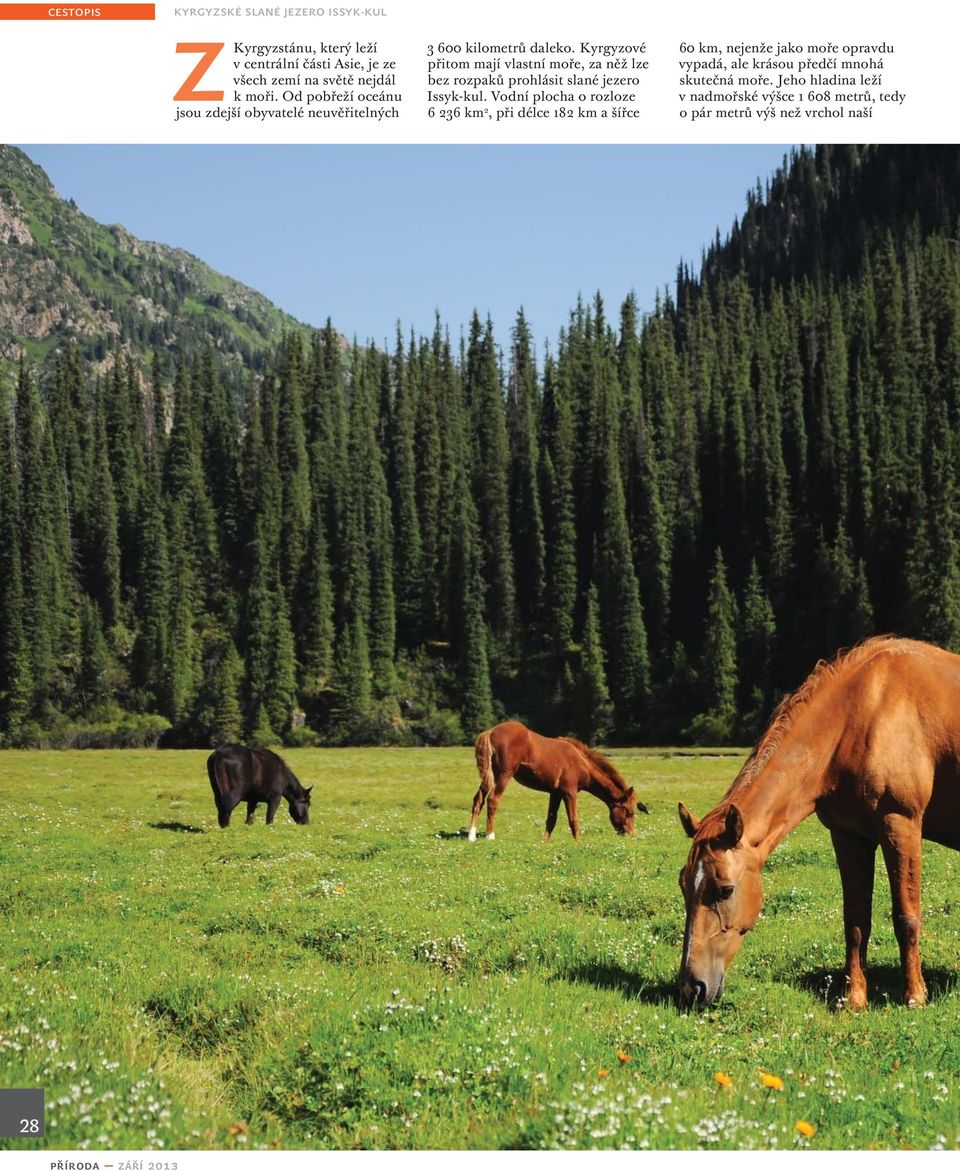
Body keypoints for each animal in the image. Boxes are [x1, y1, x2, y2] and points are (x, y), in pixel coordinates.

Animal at [465, 721, 646, 843]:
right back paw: (490, 835)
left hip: (489, 776)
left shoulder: (555, 793)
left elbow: (551, 819)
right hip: (503, 775)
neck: (580, 762)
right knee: (493, 800)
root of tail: (490, 732)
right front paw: (578, 843)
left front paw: (544, 842)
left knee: (478, 800)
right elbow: (573, 819)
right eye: (629, 812)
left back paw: (471, 836)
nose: (632, 834)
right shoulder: (569, 792)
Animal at [674, 637, 960, 1011]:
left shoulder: (901, 827)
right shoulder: (848, 835)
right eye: (683, 885)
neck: (865, 710)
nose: (691, 988)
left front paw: (914, 996)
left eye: (725, 889)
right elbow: (856, 922)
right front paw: (854, 998)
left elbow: (906, 917)